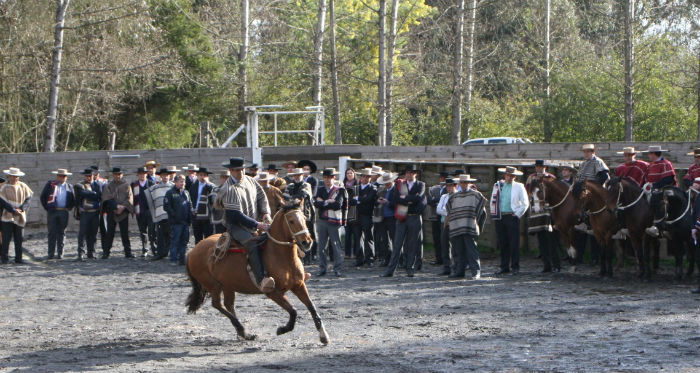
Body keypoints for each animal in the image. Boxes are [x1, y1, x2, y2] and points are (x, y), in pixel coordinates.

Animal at [185, 199, 330, 344]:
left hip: (228, 285)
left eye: (305, 218)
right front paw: (282, 329)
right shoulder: (272, 292)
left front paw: (324, 336)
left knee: (228, 305)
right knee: (217, 304)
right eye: (291, 220)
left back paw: (244, 333)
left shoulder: (299, 285)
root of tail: (192, 251)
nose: (307, 242)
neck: (282, 257)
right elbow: (293, 310)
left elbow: (312, 308)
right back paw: (241, 329)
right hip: (213, 285)